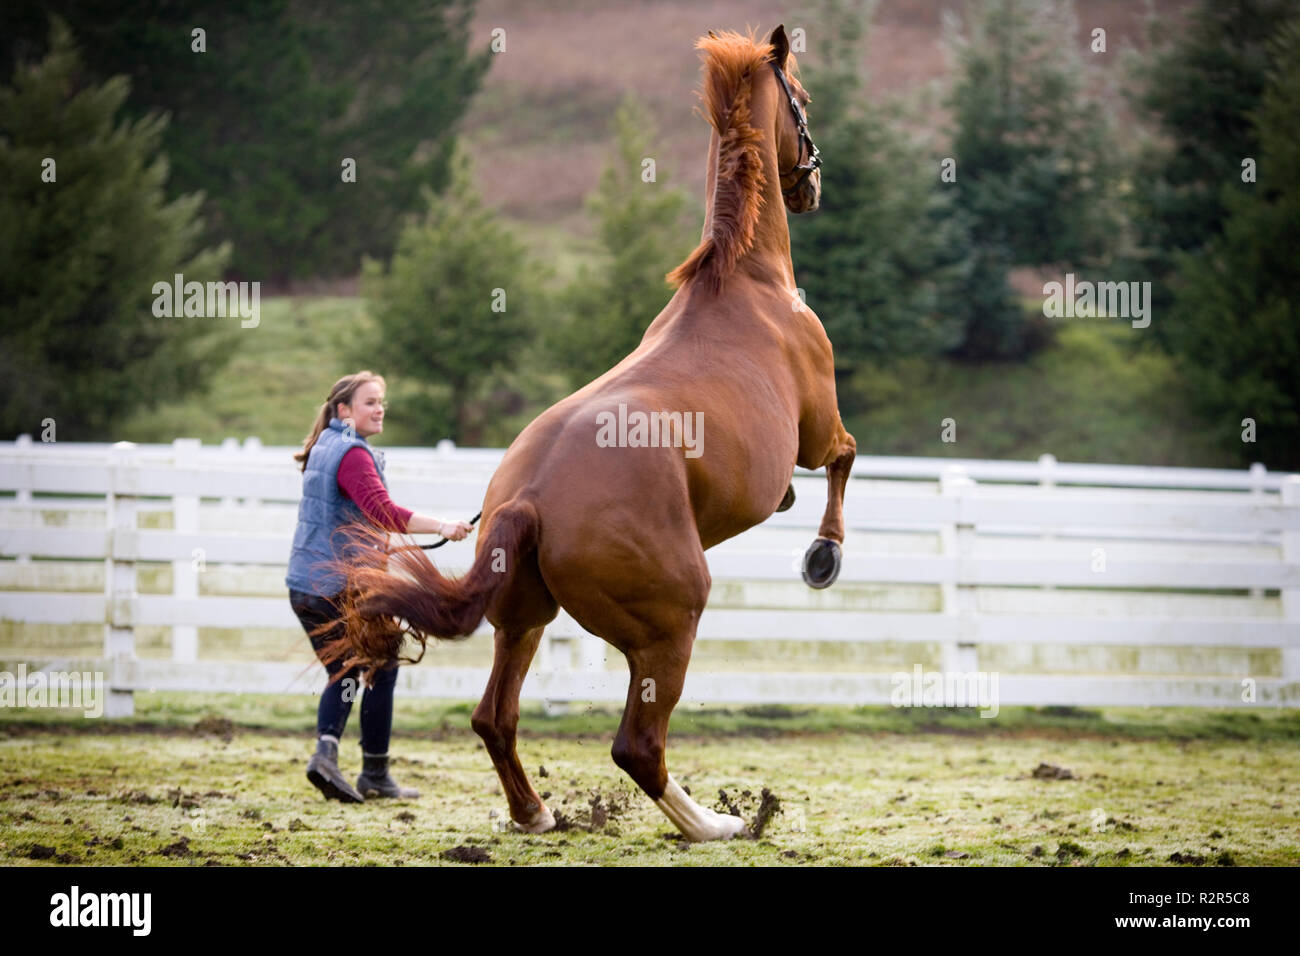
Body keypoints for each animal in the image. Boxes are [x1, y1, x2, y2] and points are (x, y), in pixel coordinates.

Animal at [331, 25, 856, 841]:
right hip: (671, 621)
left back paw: (536, 814)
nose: (812, 184)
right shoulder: (816, 433)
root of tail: (528, 498)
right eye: (801, 98)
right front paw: (823, 556)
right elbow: (844, 460)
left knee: (495, 719)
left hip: (524, 619)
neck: (746, 283)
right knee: (637, 746)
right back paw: (716, 824)